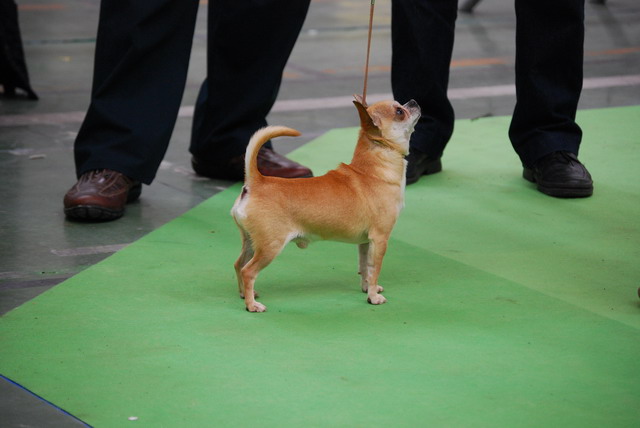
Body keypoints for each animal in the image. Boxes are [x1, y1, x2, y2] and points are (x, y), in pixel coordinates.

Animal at [231, 95, 421, 312]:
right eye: (399, 112)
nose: (413, 101)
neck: (372, 169)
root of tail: (256, 181)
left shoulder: (365, 242)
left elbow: (364, 268)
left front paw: (366, 289)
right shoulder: (379, 239)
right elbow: (374, 269)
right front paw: (373, 297)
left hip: (251, 242)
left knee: (238, 264)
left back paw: (245, 294)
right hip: (270, 246)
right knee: (248, 271)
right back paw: (252, 305)